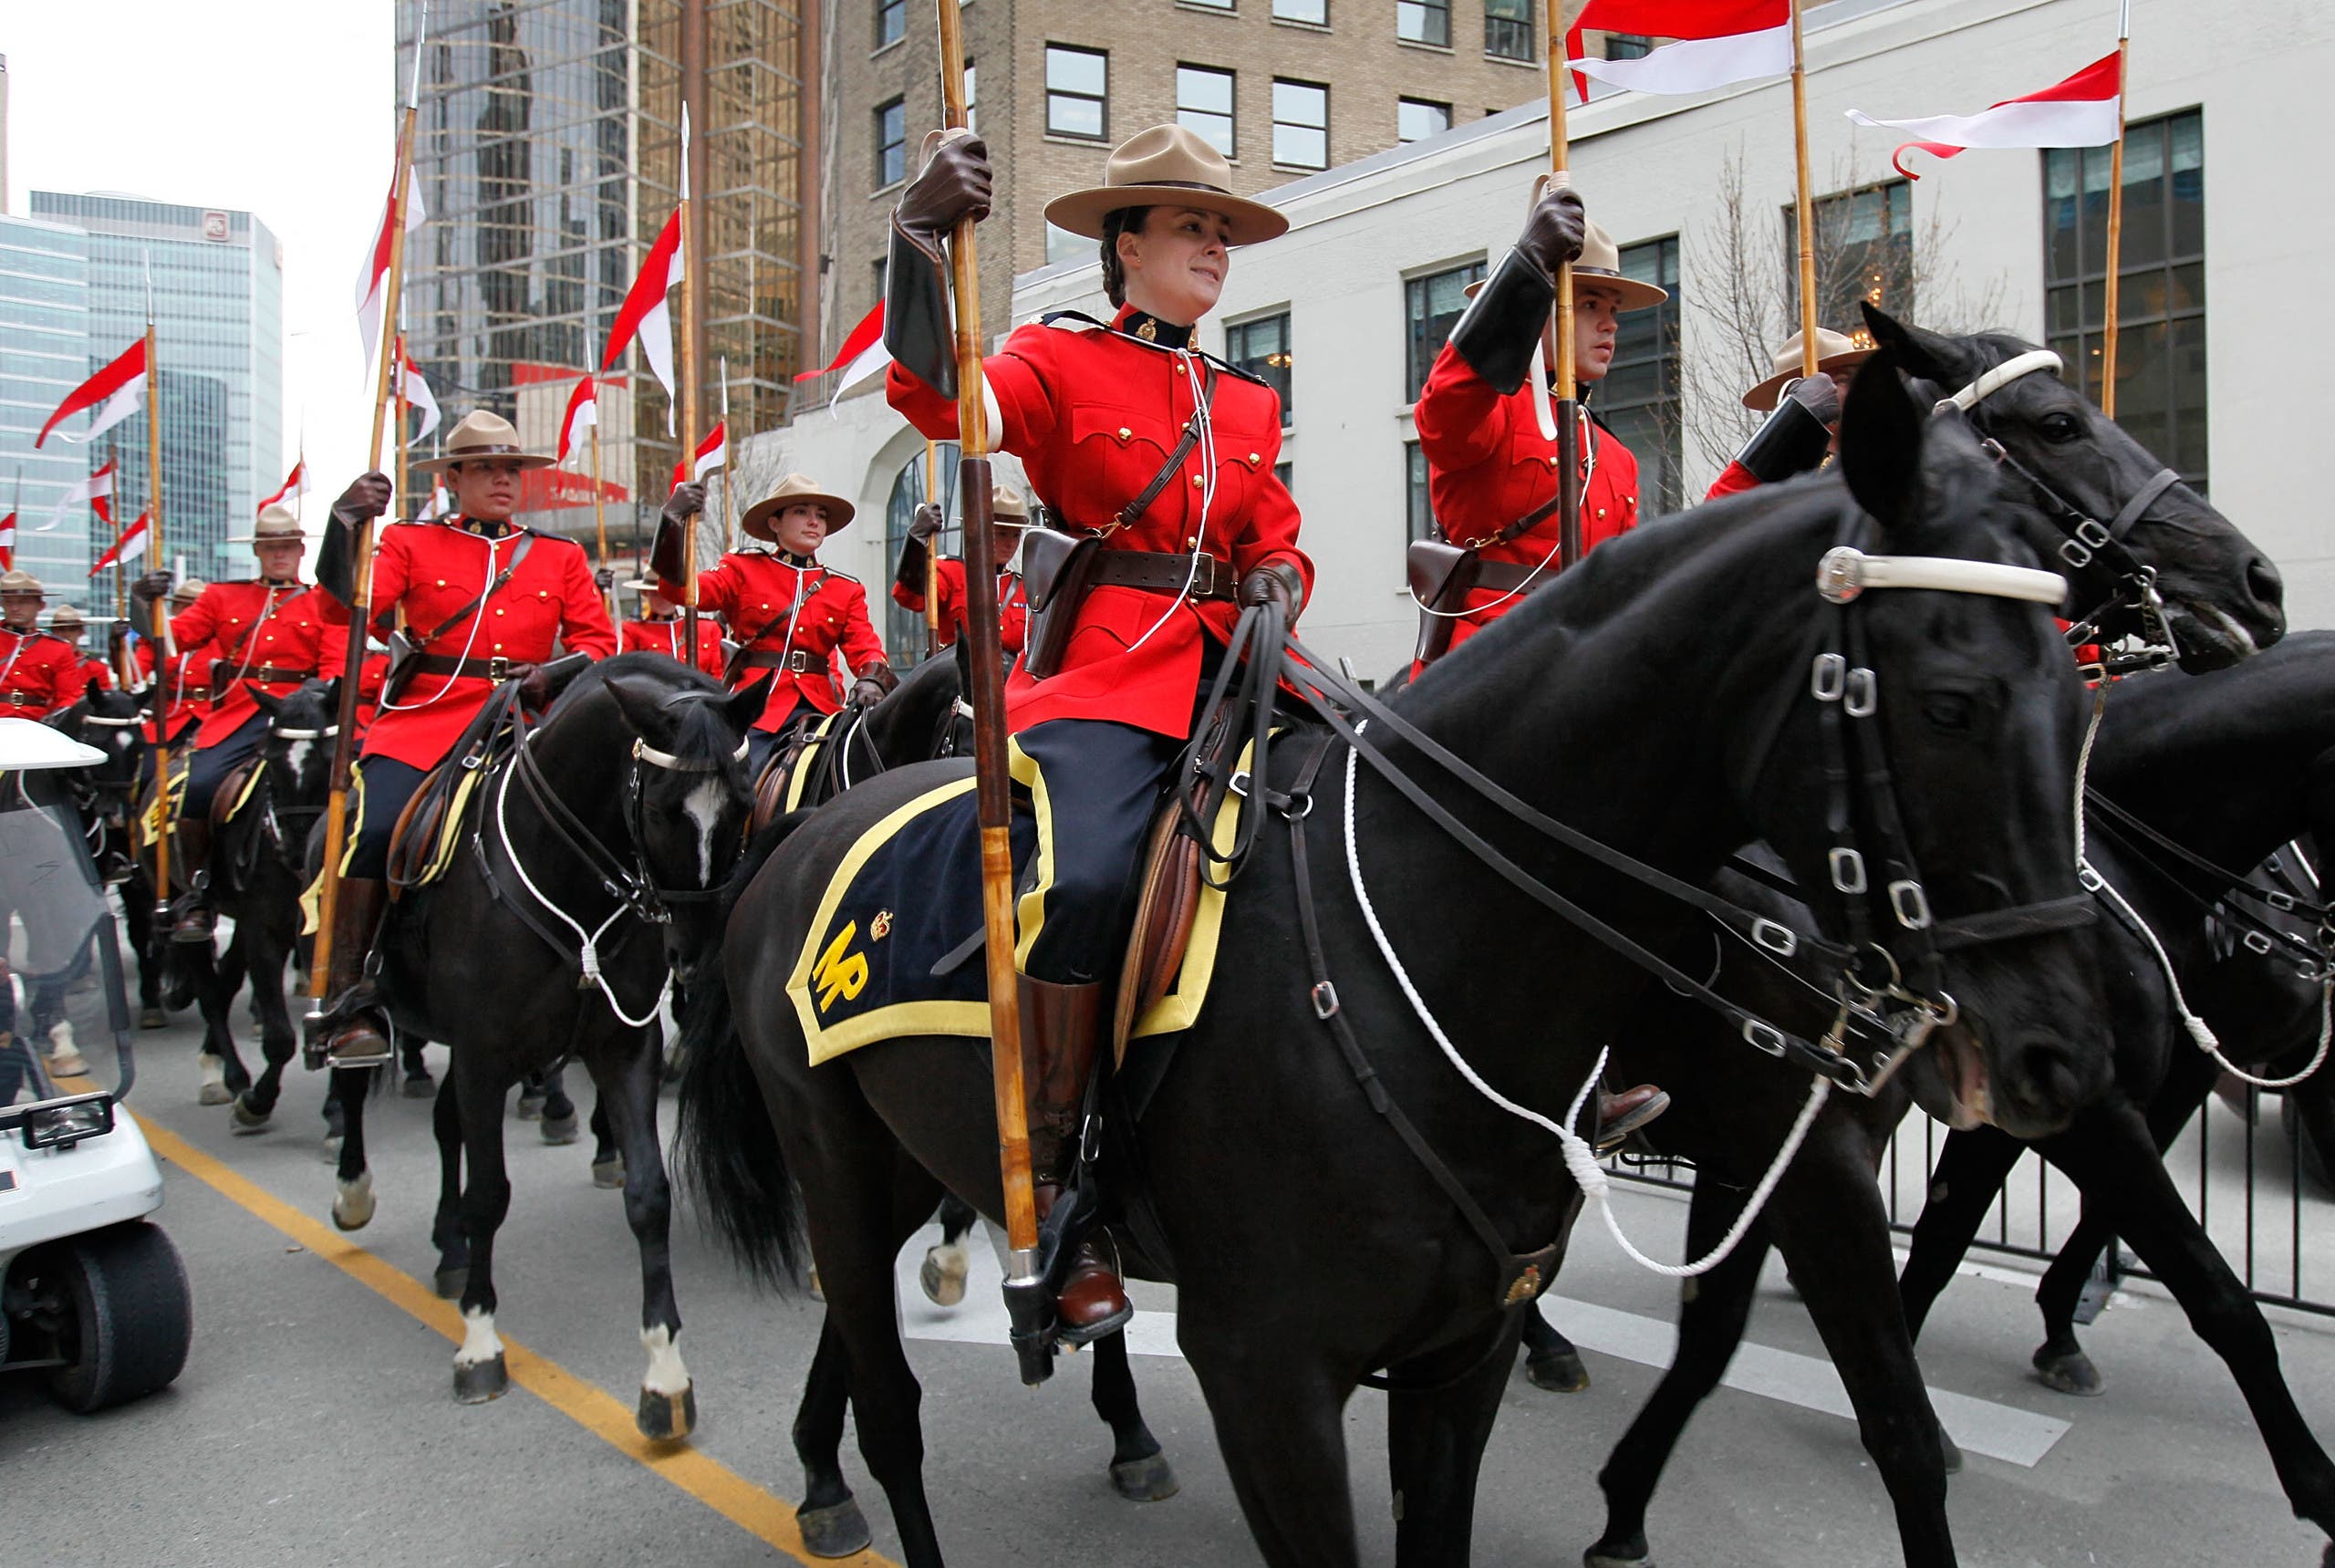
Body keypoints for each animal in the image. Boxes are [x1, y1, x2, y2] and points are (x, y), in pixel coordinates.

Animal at [315, 649, 756, 1439]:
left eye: (740, 806)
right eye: (660, 809)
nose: (698, 953)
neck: (570, 872)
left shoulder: (624, 1046)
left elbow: (648, 1194)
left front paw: (664, 1373)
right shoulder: (485, 1053)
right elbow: (491, 1191)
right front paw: (480, 1343)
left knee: (446, 1127)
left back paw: (449, 1246)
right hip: (377, 1002)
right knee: (355, 1080)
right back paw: (355, 1189)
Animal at [672, 355, 2120, 1568]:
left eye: (2076, 695)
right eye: (1951, 702)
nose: (2063, 1051)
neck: (1435, 930)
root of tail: (796, 837)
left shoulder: (1465, 1348)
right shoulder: (1266, 1369)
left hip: (913, 1151)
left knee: (862, 1330)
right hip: (831, 1151)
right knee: (892, 1405)